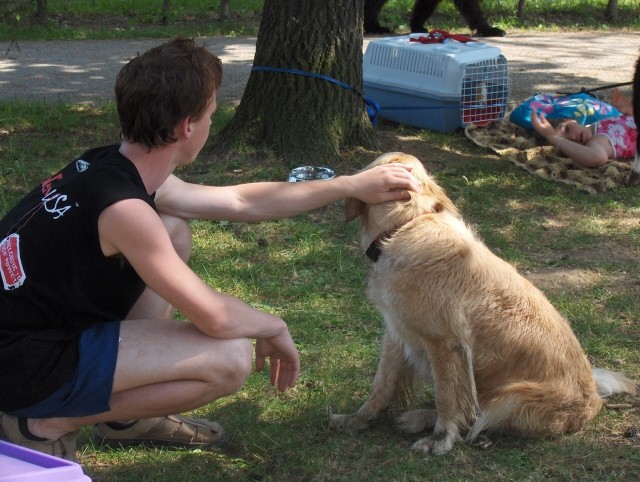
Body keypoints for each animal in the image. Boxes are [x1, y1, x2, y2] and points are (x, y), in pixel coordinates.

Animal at [330, 152, 636, 456]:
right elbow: (382, 383)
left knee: (478, 415)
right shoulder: (396, 331)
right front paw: (358, 419)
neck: (407, 225)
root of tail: (594, 401)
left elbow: (447, 396)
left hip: (512, 399)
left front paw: (440, 439)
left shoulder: (445, 343)